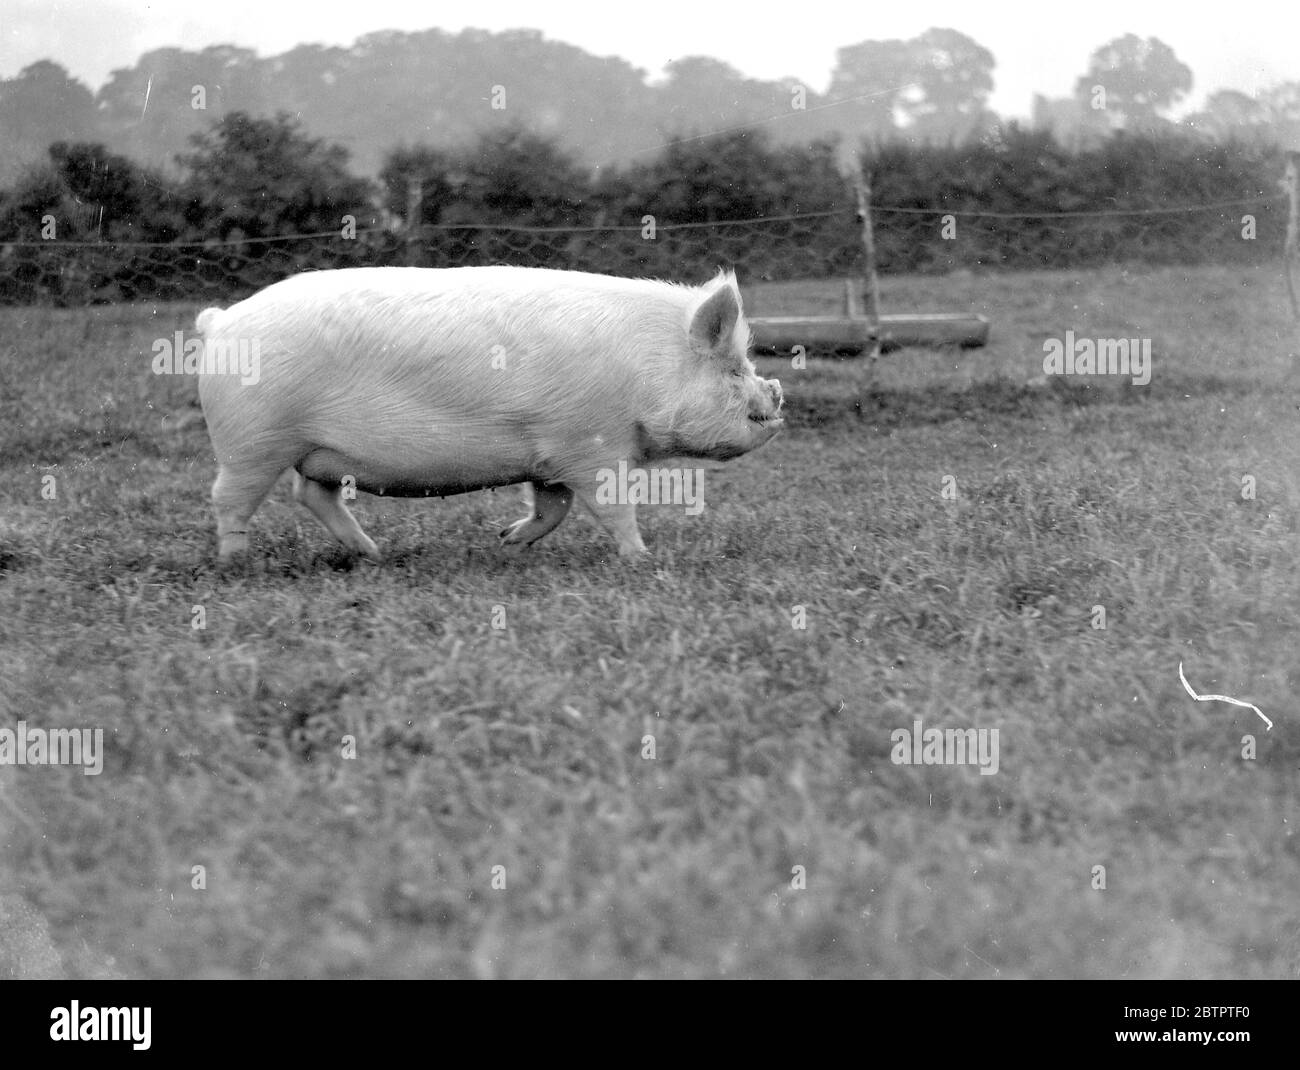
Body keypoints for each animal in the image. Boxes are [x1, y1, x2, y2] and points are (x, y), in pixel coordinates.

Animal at [195, 265, 784, 562]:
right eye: (735, 371)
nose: (778, 399)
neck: (646, 369)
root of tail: (220, 320)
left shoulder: (550, 454)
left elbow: (553, 508)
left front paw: (505, 541)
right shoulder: (589, 443)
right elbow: (614, 506)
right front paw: (642, 560)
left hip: (312, 450)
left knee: (312, 494)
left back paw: (373, 554)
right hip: (254, 439)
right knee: (229, 497)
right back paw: (235, 563)